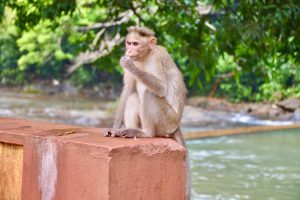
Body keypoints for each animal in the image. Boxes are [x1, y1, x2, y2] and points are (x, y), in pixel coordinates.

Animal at [104, 26, 191, 200]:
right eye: (129, 42)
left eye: (136, 44)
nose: (129, 50)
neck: (144, 56)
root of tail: (176, 125)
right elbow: (128, 89)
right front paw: (115, 127)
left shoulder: (156, 59)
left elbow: (161, 88)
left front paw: (130, 65)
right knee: (133, 97)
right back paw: (128, 131)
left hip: (167, 120)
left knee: (149, 94)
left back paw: (146, 133)